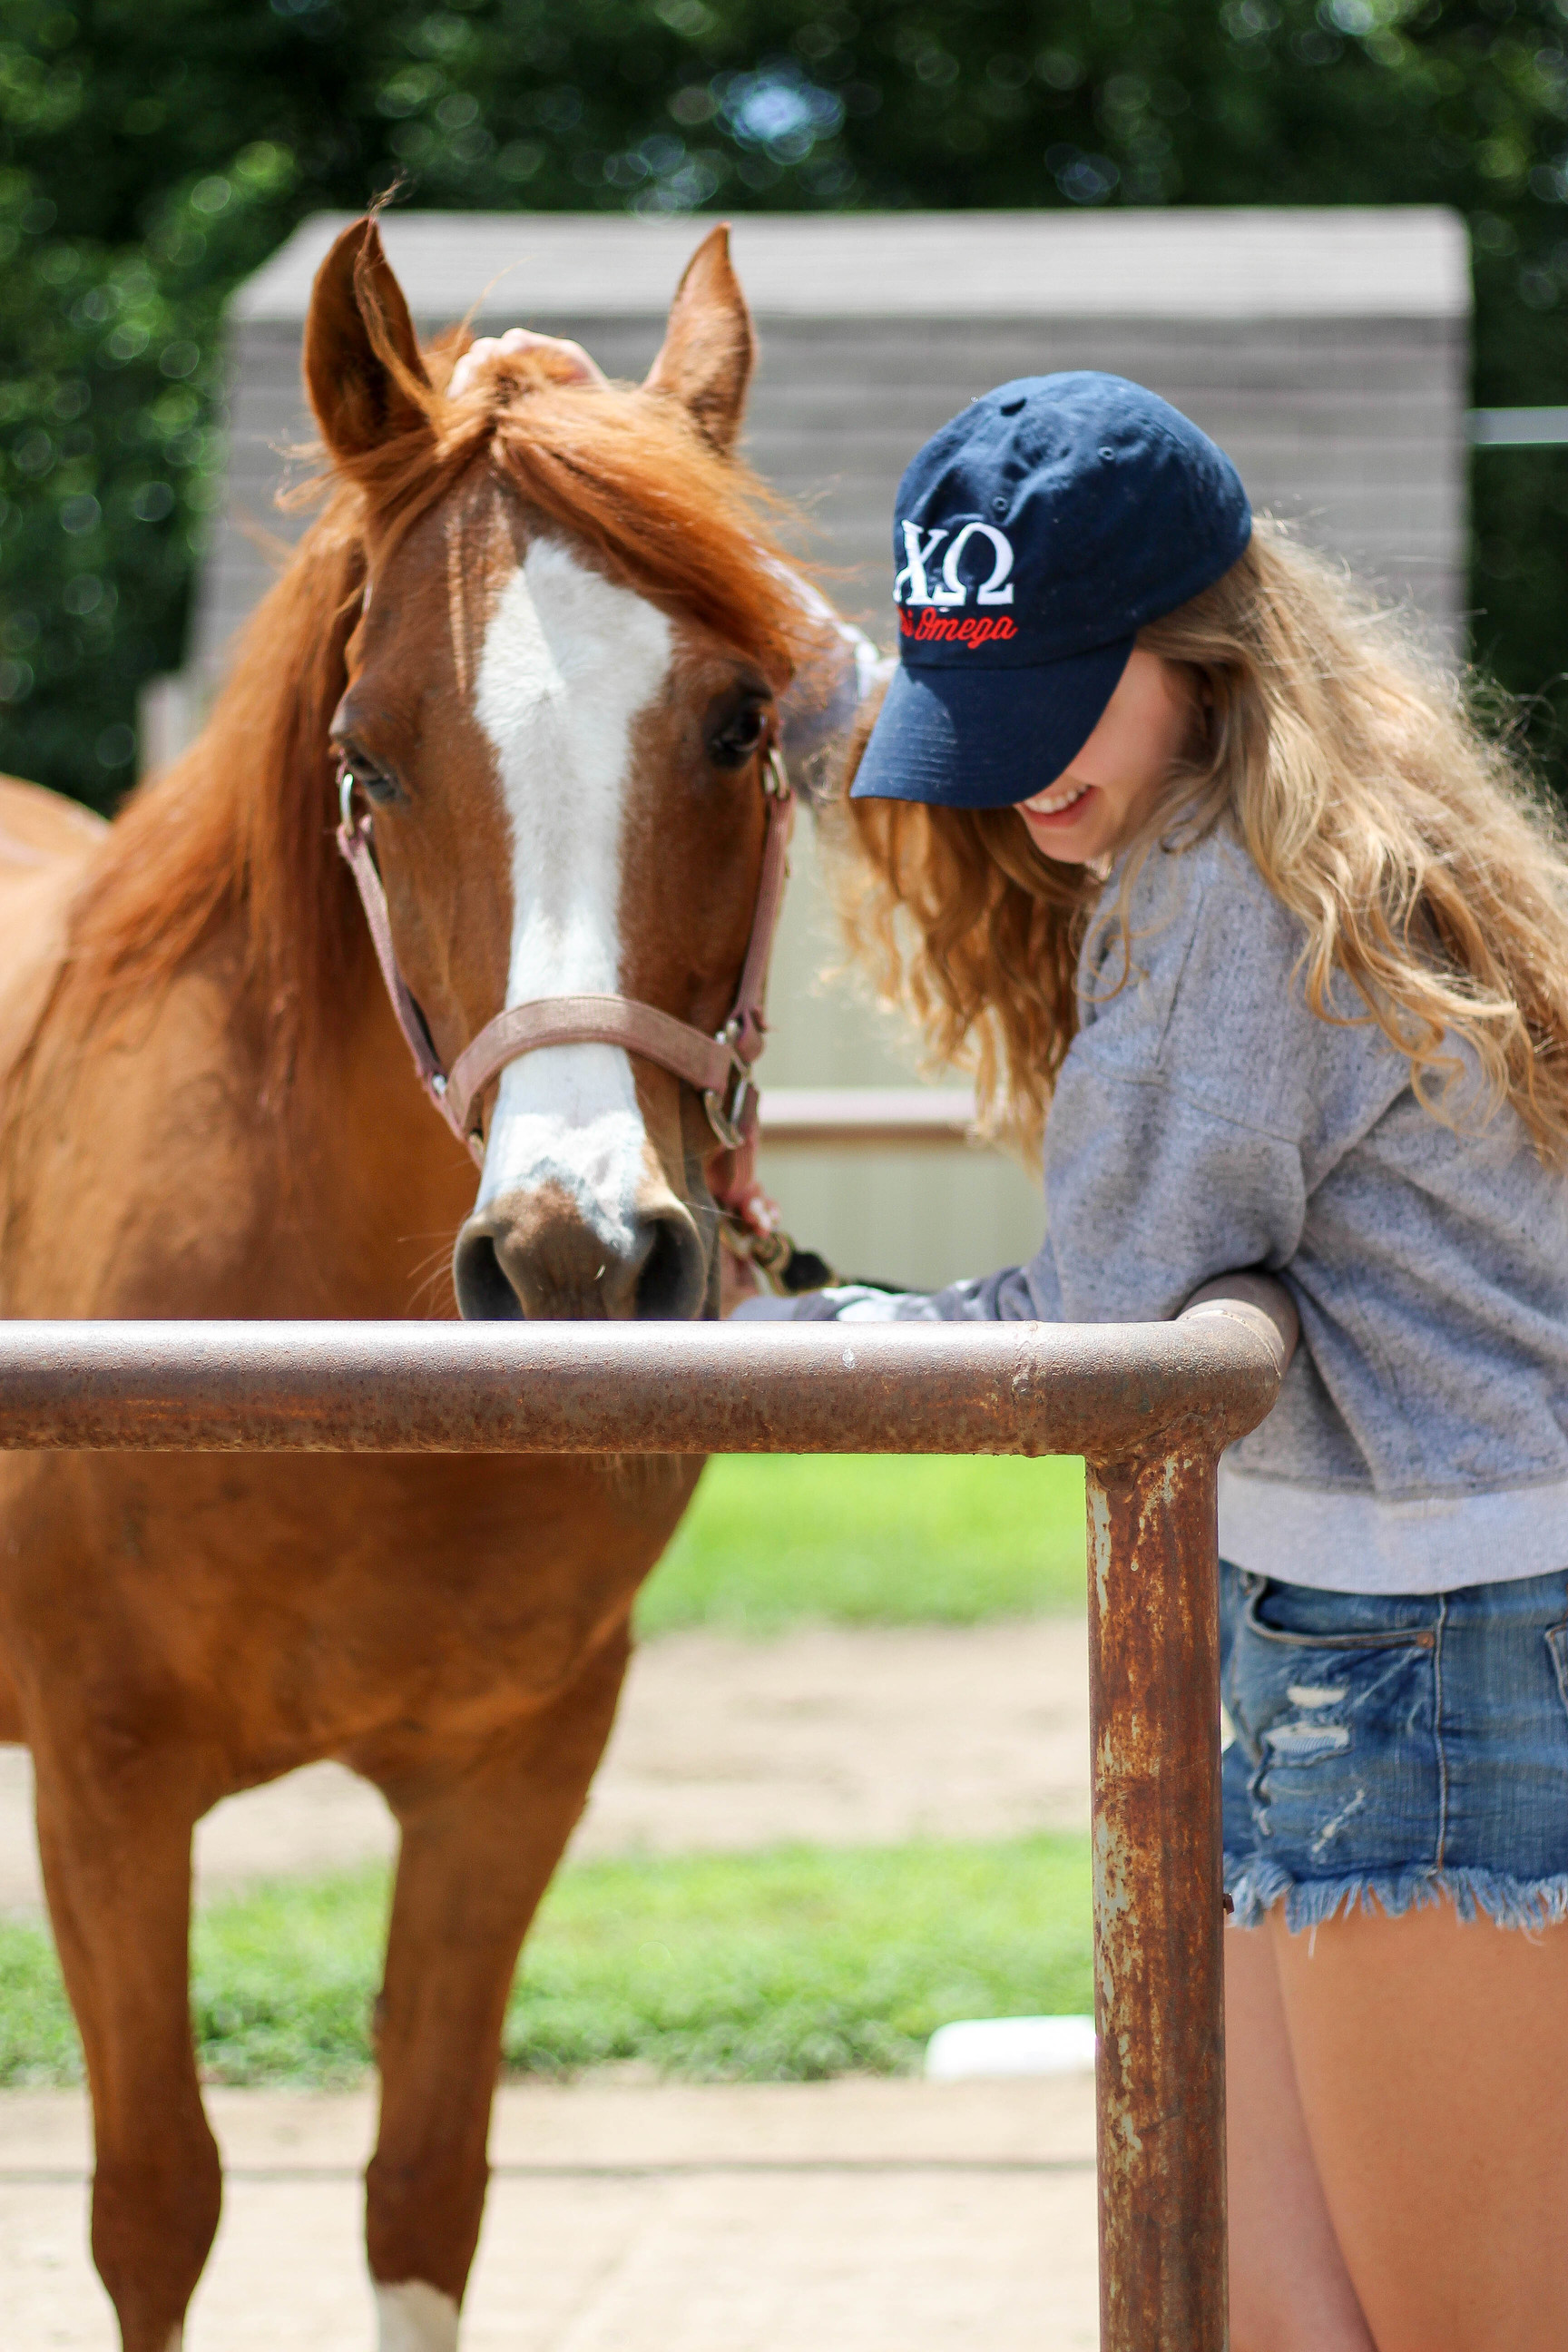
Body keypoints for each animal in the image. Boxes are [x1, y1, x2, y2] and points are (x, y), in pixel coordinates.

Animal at [0, 220, 832, 2352]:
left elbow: (422, 2190)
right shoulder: (106, 1792)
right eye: (365, 755)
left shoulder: (508, 1779)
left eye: (739, 723)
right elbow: (156, 2206)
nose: (572, 1255)